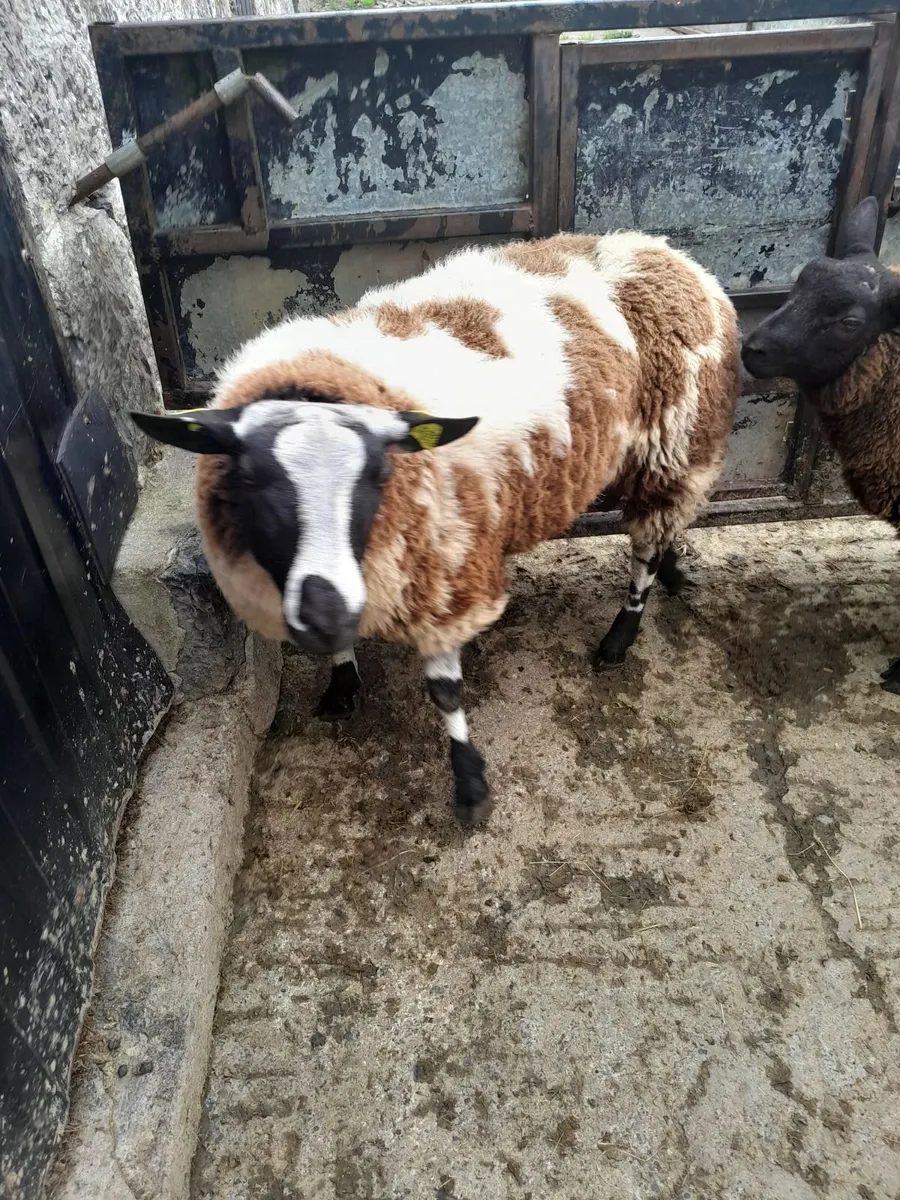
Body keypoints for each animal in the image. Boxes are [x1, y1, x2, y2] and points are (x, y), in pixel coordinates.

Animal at [133, 231, 741, 824]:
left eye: (376, 474)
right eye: (250, 480)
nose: (325, 614)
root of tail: (673, 256)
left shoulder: (443, 574)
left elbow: (445, 693)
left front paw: (470, 788)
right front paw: (342, 685)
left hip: (675, 444)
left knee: (646, 544)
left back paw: (620, 635)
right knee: (666, 529)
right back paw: (672, 572)